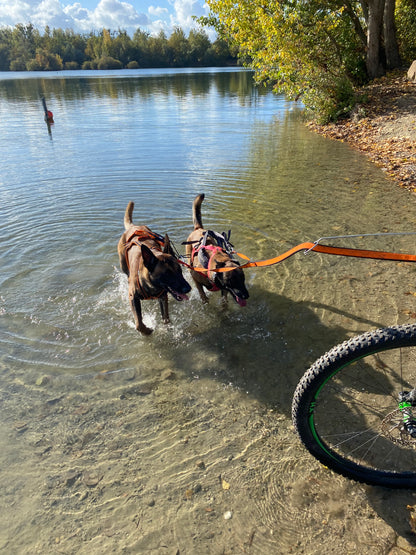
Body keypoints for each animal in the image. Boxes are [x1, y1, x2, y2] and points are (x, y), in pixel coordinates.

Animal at [117, 203, 192, 336]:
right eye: (167, 274)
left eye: (179, 270)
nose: (188, 288)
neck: (151, 286)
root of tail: (133, 226)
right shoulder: (133, 298)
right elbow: (139, 324)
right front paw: (147, 331)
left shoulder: (163, 297)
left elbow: (166, 318)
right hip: (124, 266)